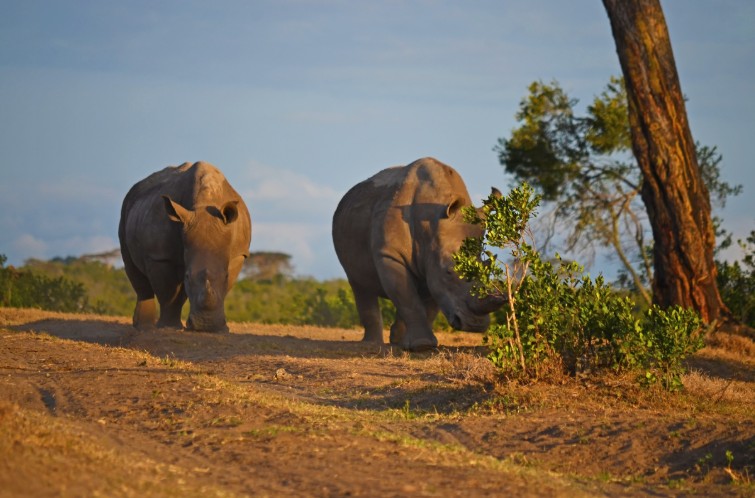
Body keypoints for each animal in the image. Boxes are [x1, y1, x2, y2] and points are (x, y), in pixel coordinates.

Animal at [118, 161, 251, 332]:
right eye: (188, 277)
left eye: (226, 276)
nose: (206, 325)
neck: (204, 204)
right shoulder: (159, 256)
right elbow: (169, 293)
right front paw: (168, 327)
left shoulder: (238, 254)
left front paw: (221, 329)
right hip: (126, 207)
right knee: (132, 267)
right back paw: (144, 328)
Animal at [332, 157, 505, 351]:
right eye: (449, 272)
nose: (475, 325)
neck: (430, 226)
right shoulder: (390, 255)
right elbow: (408, 298)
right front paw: (422, 345)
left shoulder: (431, 262)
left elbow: (426, 302)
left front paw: (421, 345)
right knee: (359, 284)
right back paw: (372, 343)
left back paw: (397, 340)